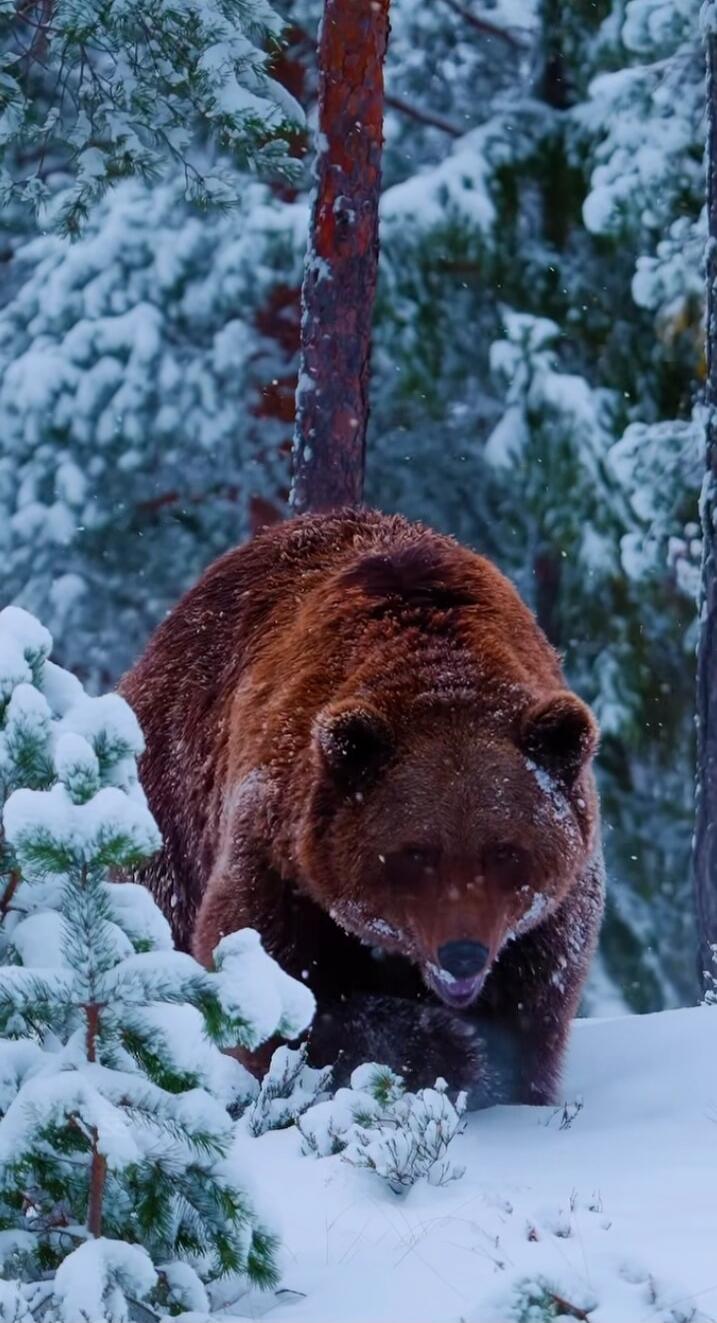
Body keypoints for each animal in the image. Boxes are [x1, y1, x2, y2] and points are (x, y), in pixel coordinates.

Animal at [120, 509, 604, 1107]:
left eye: (505, 850)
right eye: (417, 852)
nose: (463, 953)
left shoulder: (548, 925)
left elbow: (532, 1018)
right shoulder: (283, 860)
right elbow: (284, 1002)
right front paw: (449, 1050)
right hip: (173, 796)